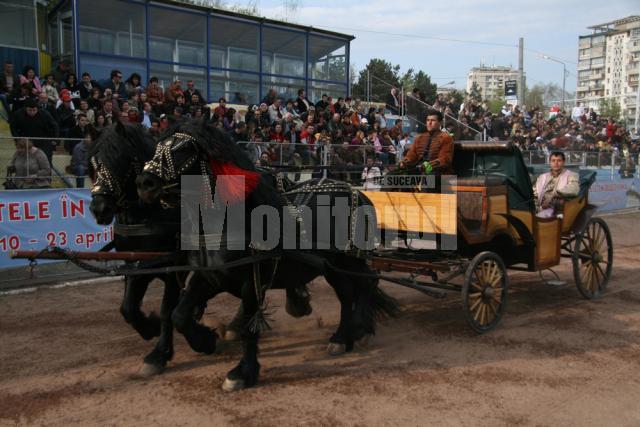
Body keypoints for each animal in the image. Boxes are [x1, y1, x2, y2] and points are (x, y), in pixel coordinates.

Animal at [89, 119, 216, 374]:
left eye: (119, 157)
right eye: (94, 163)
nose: (99, 208)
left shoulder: (173, 267)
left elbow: (168, 310)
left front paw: (160, 353)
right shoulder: (135, 263)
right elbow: (128, 308)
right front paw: (151, 326)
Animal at [138, 119, 400, 392]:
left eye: (184, 149)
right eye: (157, 147)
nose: (144, 183)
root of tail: (360, 193)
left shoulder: (252, 282)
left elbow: (249, 328)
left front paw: (242, 373)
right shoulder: (210, 277)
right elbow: (178, 315)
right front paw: (207, 341)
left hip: (351, 259)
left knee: (368, 283)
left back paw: (360, 329)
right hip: (332, 264)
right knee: (348, 293)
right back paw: (342, 337)